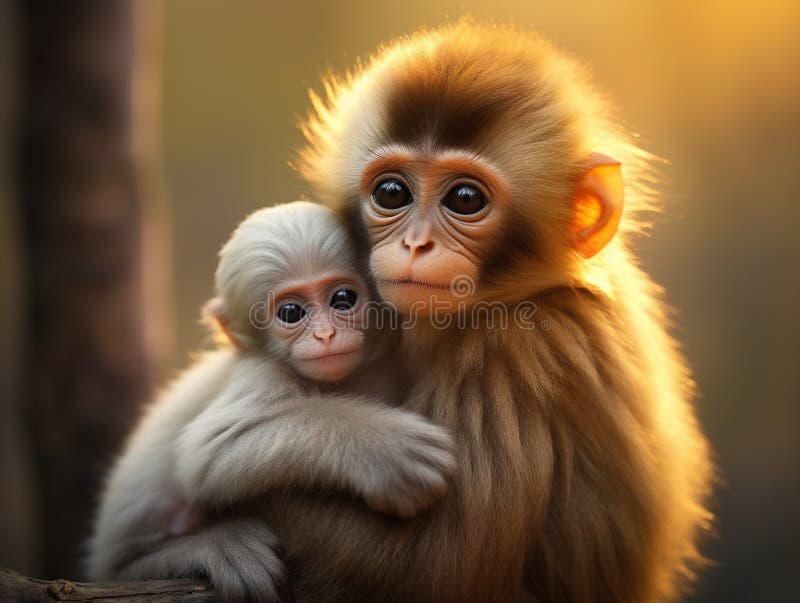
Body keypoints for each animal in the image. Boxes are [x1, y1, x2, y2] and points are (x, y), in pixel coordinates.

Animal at [85, 201, 457, 601]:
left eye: (343, 300)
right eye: (291, 313)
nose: (326, 335)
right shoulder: (259, 373)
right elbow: (210, 451)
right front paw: (386, 450)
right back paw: (215, 547)